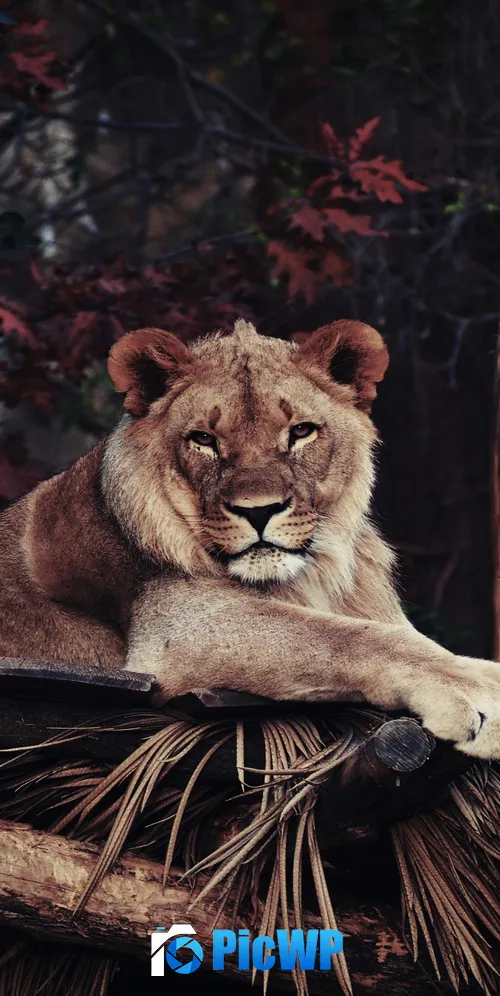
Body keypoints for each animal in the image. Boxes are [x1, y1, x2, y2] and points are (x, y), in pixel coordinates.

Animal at [1, 317, 500, 758]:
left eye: (301, 431)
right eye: (204, 439)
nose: (258, 510)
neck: (311, 574)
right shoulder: (176, 628)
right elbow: (345, 637)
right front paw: (478, 694)